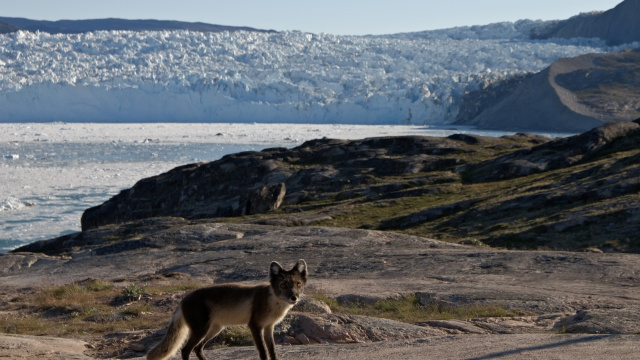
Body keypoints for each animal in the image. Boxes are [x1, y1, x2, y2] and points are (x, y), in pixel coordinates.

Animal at [148, 260, 308, 360]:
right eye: (283, 285)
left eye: (298, 284)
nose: (294, 297)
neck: (273, 302)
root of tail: (183, 300)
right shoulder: (254, 325)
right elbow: (263, 352)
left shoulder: (269, 327)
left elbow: (273, 351)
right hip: (202, 330)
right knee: (186, 349)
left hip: (214, 329)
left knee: (198, 348)